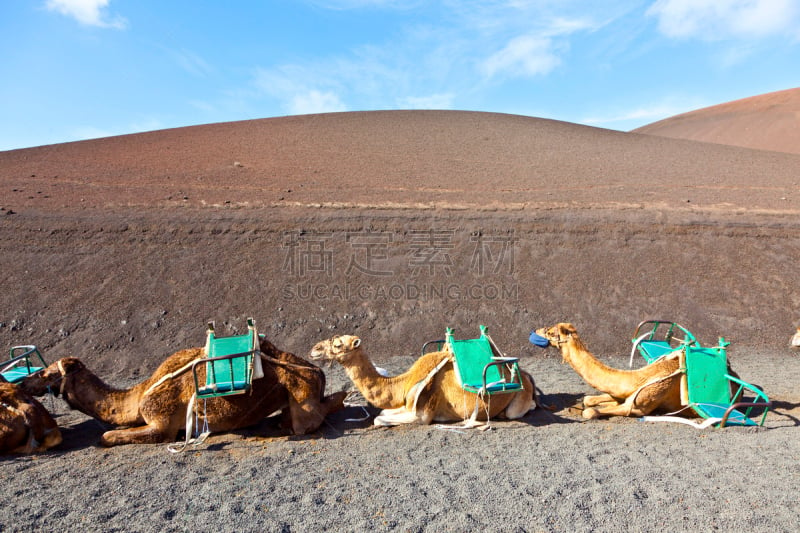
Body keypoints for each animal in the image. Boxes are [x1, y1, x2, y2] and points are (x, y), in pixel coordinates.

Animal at [20, 336, 346, 444]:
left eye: (45, 372)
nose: (22, 382)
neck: (139, 395)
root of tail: (316, 369)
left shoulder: (160, 424)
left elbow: (107, 436)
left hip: (302, 392)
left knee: (309, 419)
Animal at [306, 334, 536, 426]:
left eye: (338, 344)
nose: (314, 349)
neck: (404, 383)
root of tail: (525, 377)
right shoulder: (406, 405)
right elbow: (382, 413)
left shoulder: (423, 414)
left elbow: (379, 419)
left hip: (518, 399)